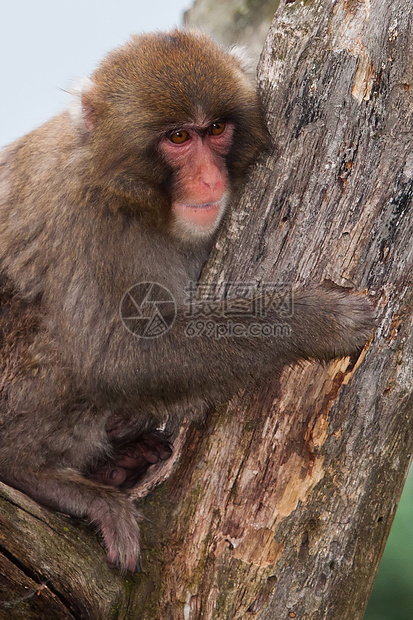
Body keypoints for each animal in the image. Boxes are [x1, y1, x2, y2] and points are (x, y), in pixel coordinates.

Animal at [0, 29, 374, 572]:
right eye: (178, 138)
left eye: (215, 129)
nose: (209, 178)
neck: (134, 199)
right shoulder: (81, 218)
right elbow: (114, 355)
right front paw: (314, 320)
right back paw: (32, 472)